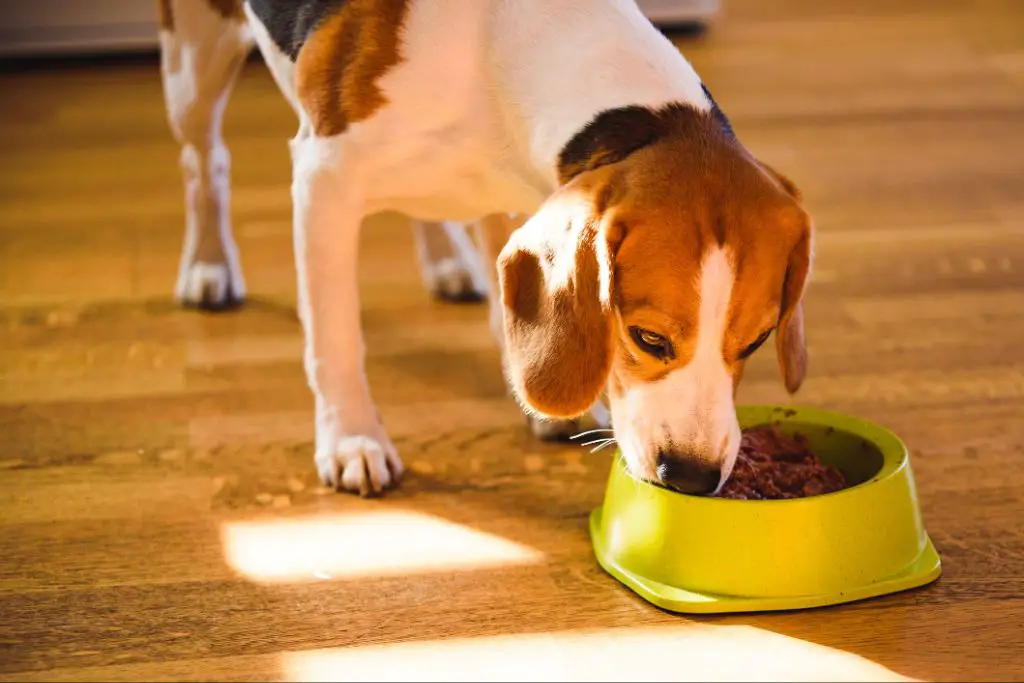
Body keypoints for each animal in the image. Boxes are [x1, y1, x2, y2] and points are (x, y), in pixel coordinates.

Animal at [155, 0, 811, 499]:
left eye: (755, 342)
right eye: (647, 338)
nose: (693, 477)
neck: (504, 55)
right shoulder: (323, 180)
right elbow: (335, 340)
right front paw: (352, 439)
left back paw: (447, 261)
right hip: (193, 66)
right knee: (203, 161)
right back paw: (208, 266)